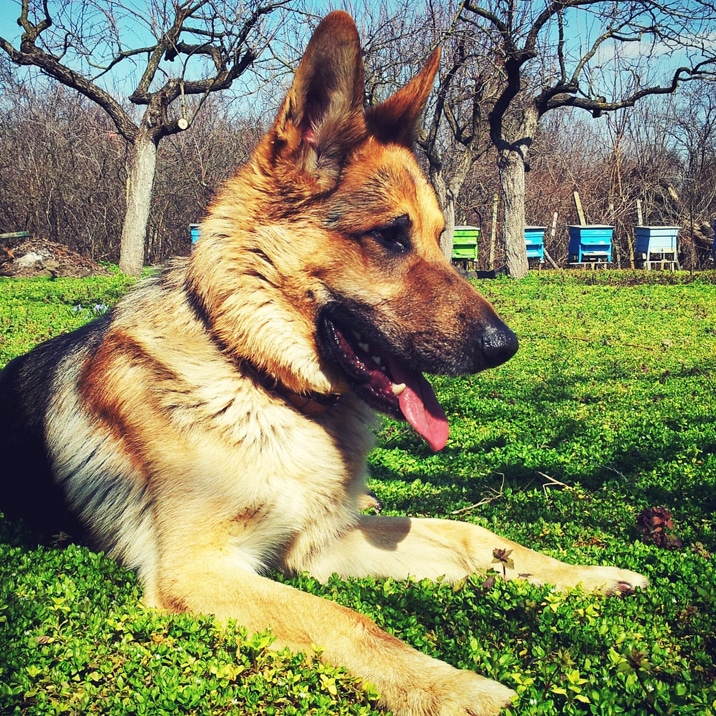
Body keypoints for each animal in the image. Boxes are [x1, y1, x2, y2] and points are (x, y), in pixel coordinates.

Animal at [0, 12, 648, 716]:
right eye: (390, 236)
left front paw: (585, 575)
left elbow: (469, 531)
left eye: (440, 238)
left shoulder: (321, 542)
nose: (505, 346)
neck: (259, 378)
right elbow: (348, 620)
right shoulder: (200, 569)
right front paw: (456, 688)